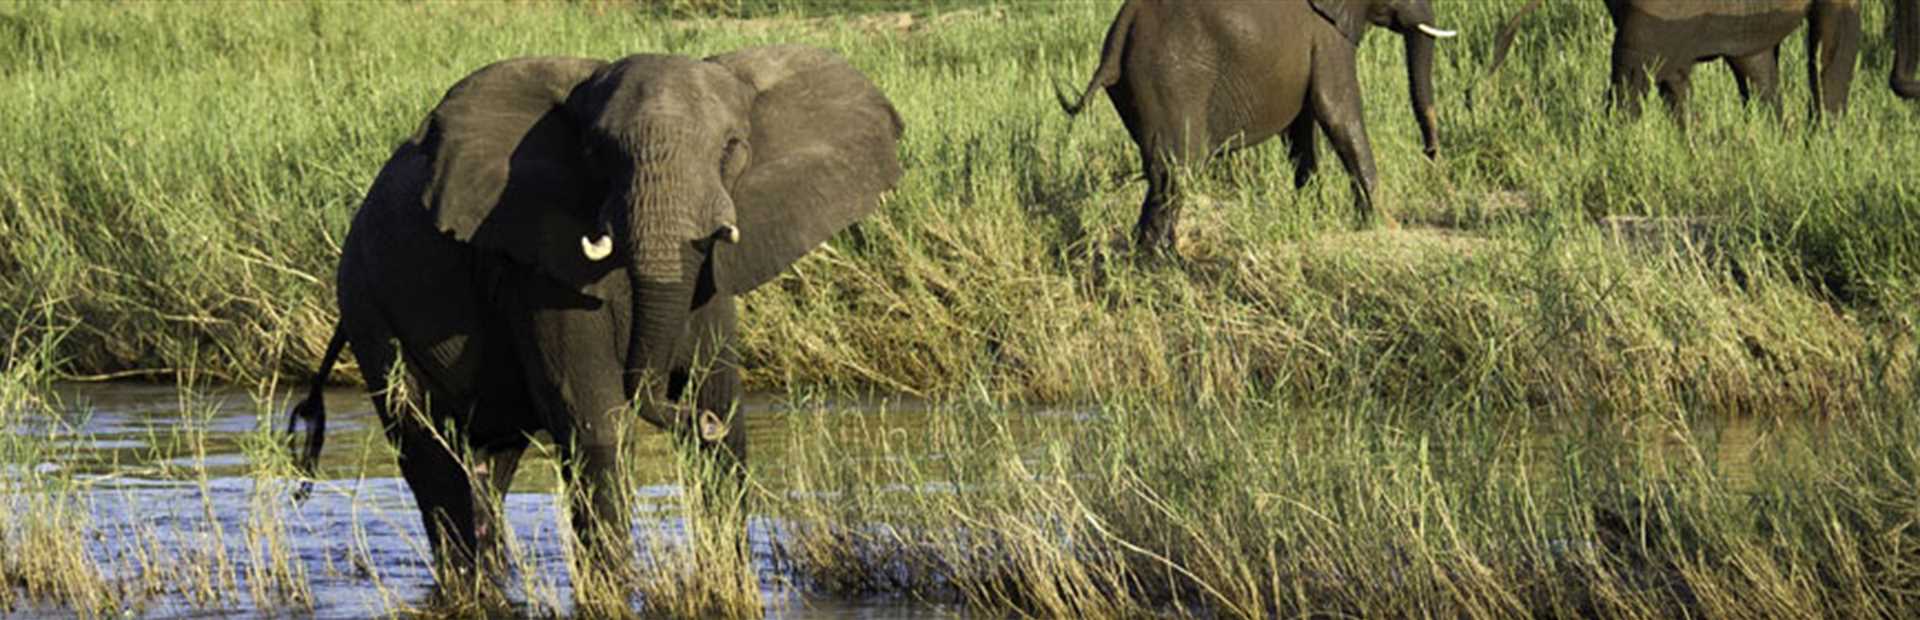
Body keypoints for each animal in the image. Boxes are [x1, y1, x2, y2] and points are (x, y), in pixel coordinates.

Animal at [280, 44, 902, 591]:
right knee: (428, 450)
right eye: (599, 153)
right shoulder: (538, 270)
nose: (690, 419)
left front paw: (731, 567)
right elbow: (594, 429)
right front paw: (615, 588)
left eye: (732, 147)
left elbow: (726, 413)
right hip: (368, 302)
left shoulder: (711, 281)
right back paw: (467, 577)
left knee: (489, 464)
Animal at [1052, 0, 1451, 255]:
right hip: (1169, 76)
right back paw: (1163, 262)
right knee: (1177, 170)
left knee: (1163, 170)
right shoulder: (1327, 36)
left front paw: (1309, 218)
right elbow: (1337, 111)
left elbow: (1301, 131)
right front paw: (1385, 226)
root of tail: (1121, 28)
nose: (1431, 157)